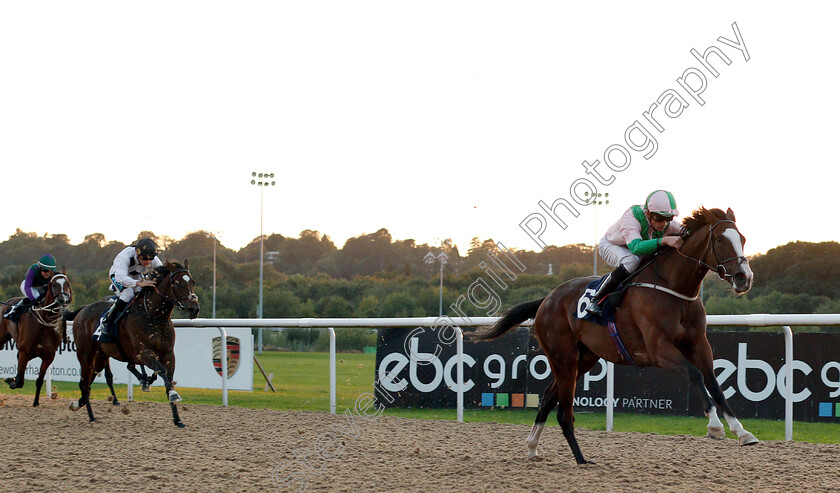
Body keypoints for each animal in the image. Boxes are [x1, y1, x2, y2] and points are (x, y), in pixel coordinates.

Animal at [0, 270, 73, 406]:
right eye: (54, 285)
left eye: (67, 284)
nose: (64, 299)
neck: (44, 322)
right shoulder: (25, 352)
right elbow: (19, 382)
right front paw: (10, 380)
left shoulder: (49, 355)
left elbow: (39, 380)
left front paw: (36, 402)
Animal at [68, 260, 199, 424]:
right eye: (177, 283)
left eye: (192, 282)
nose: (194, 308)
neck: (153, 315)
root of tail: (82, 311)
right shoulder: (144, 353)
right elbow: (161, 371)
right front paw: (173, 395)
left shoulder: (168, 354)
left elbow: (167, 378)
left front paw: (177, 419)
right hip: (86, 354)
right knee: (84, 383)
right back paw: (91, 417)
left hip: (100, 356)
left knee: (89, 380)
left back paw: (77, 404)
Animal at [472, 207, 756, 462]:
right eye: (720, 240)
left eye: (742, 239)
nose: (744, 277)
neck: (674, 289)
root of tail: (547, 299)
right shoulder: (659, 349)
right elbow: (695, 374)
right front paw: (715, 427)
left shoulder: (699, 345)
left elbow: (714, 384)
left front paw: (742, 432)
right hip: (563, 357)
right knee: (563, 411)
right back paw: (581, 459)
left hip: (584, 359)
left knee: (547, 399)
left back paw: (533, 448)